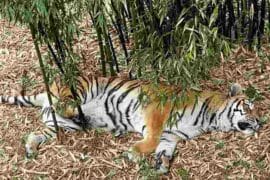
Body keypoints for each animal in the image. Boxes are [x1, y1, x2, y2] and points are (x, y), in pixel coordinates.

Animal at [0, 75, 262, 173]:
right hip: (82, 88)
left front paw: (162, 165)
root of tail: (50, 87)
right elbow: (151, 140)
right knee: (67, 103)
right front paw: (133, 154)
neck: (211, 118)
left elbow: (165, 149)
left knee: (36, 132)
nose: (260, 122)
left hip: (60, 125)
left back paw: (30, 148)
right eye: (249, 107)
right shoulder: (157, 111)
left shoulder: (173, 135)